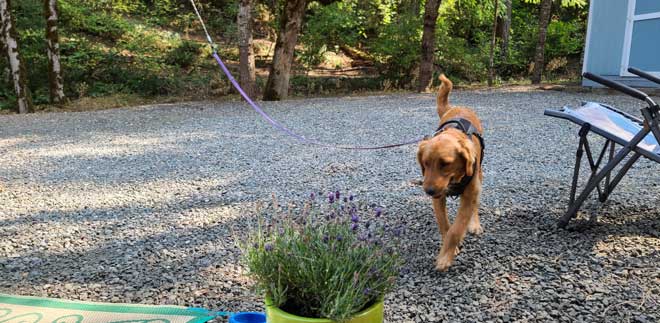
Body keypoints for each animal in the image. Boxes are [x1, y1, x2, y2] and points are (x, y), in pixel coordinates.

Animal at [418, 74, 484, 272]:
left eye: (445, 164)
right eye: (425, 163)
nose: (428, 191)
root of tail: (456, 107)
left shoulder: (469, 193)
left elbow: (456, 229)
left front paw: (445, 257)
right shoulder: (438, 198)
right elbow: (445, 225)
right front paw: (450, 249)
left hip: (479, 176)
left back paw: (474, 224)